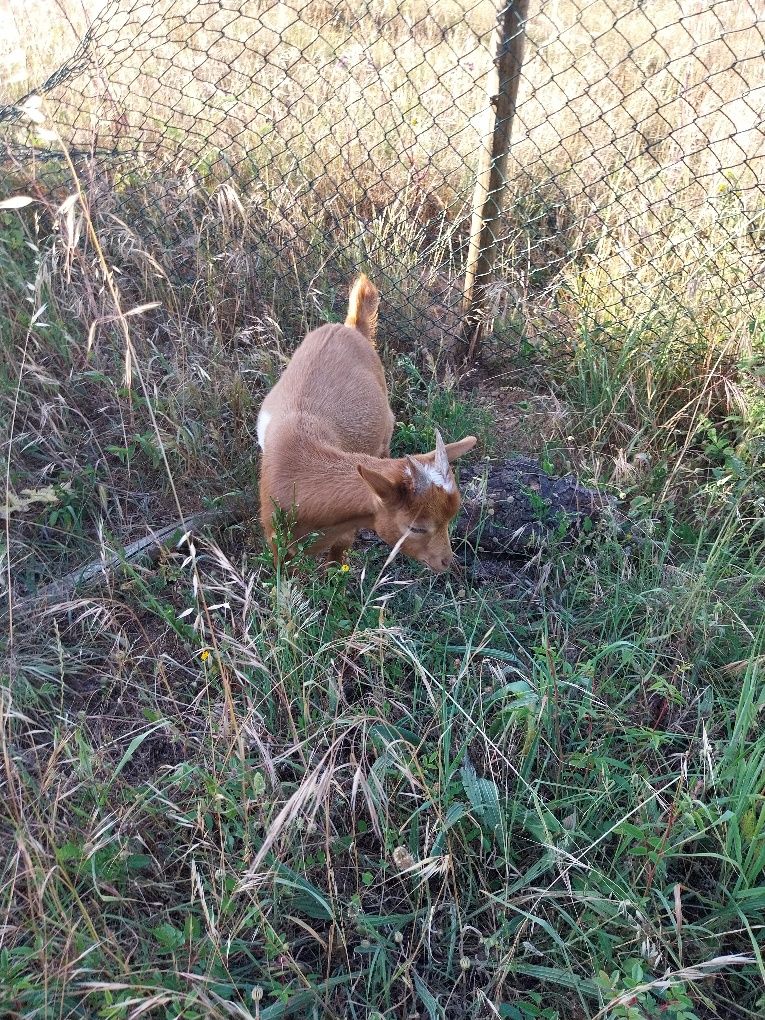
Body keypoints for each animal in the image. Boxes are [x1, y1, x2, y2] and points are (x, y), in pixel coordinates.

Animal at [258, 275, 477, 571]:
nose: (446, 562)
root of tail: (349, 327)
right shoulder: (276, 543)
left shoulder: (345, 531)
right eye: (416, 527)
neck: (300, 464)